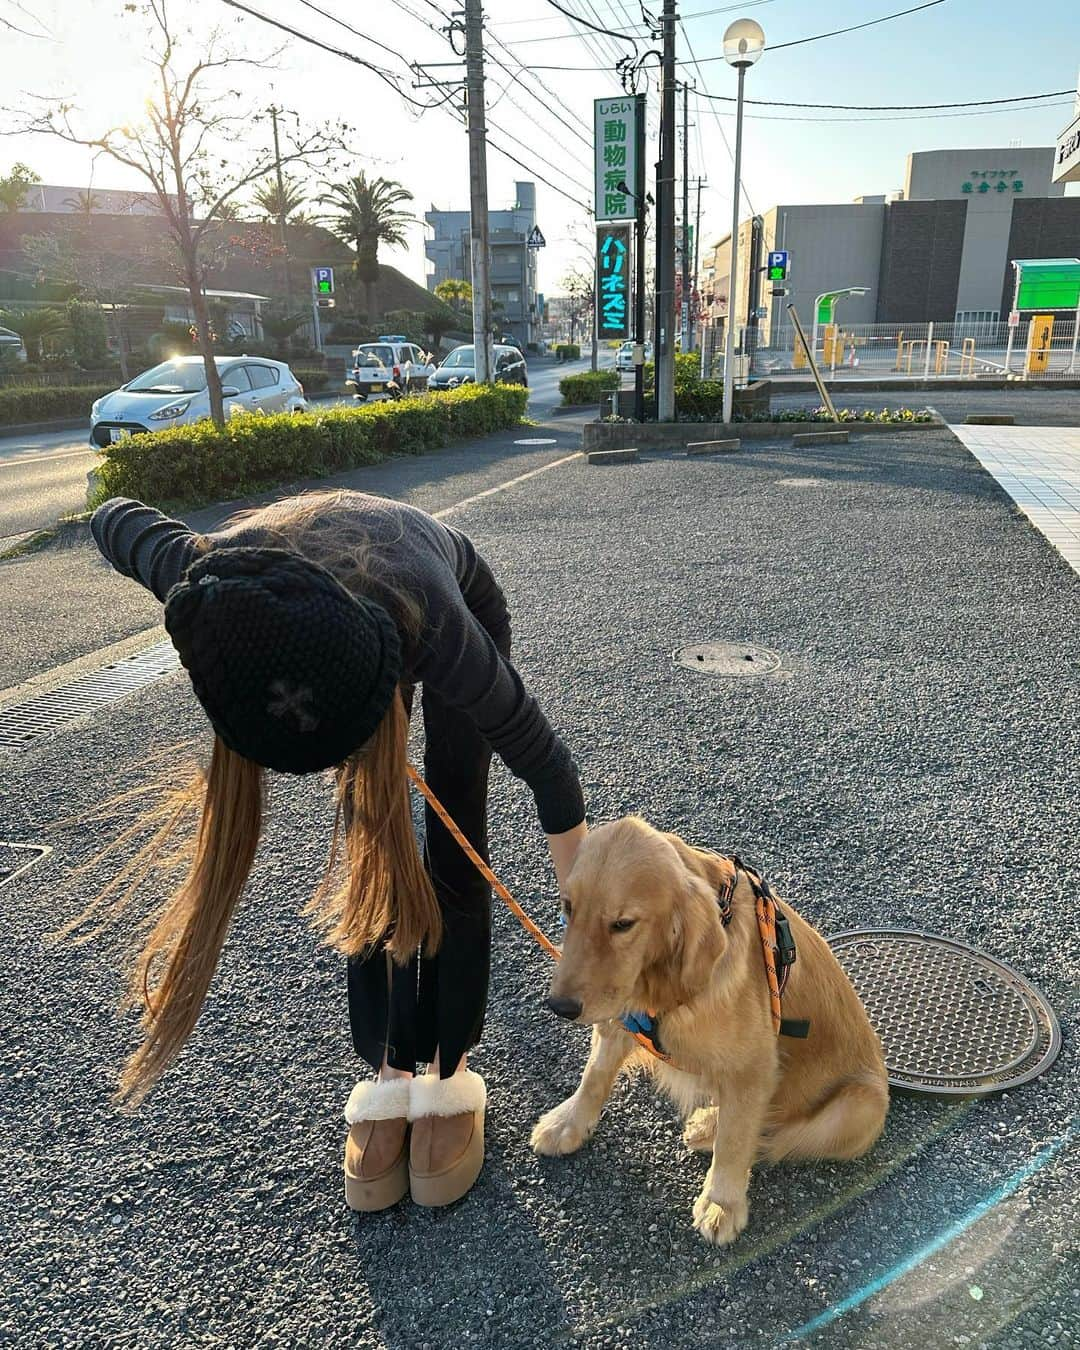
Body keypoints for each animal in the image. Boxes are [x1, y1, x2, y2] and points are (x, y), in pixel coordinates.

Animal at [526, 810, 891, 1242]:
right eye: (568, 907)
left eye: (623, 923)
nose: (560, 1006)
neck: (663, 986)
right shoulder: (619, 1016)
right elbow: (594, 1076)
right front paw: (568, 1123)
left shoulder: (754, 1066)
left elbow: (735, 1140)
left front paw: (722, 1203)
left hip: (860, 1106)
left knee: (776, 1131)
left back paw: (709, 1129)